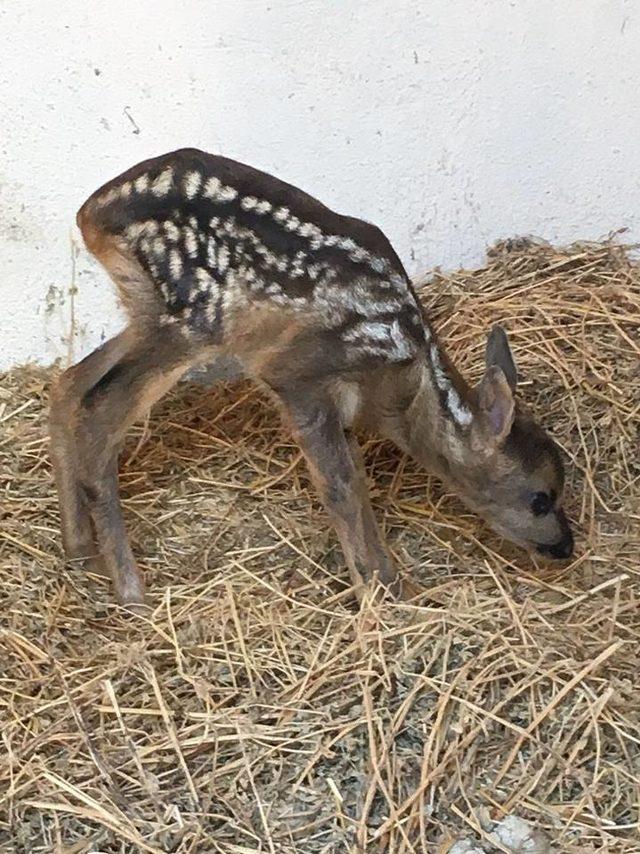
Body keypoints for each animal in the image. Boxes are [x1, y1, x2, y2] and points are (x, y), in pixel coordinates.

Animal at [47, 152, 572, 608]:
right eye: (540, 499)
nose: (566, 545)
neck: (402, 388)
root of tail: (89, 214)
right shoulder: (299, 376)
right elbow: (340, 485)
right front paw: (377, 592)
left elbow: (355, 478)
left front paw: (386, 581)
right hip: (193, 318)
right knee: (98, 411)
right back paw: (131, 592)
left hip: (146, 310)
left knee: (70, 383)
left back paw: (79, 550)